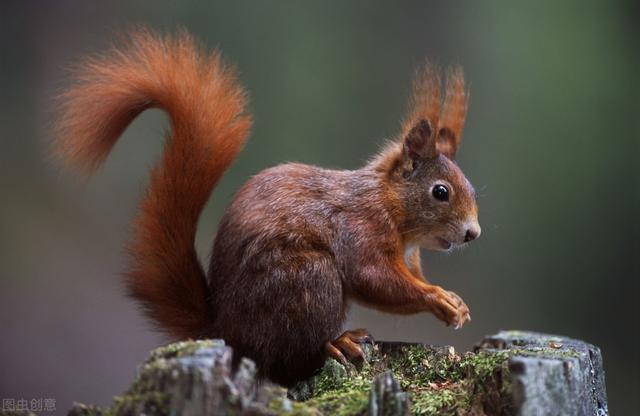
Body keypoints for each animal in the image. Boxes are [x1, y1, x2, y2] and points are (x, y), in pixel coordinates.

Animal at [53, 29, 480, 386]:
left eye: (471, 187)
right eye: (440, 192)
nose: (472, 233)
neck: (391, 206)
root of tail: (228, 333)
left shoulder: (409, 256)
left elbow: (407, 277)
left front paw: (455, 303)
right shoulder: (361, 228)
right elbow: (374, 278)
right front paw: (437, 298)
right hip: (308, 279)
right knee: (286, 362)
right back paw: (337, 342)